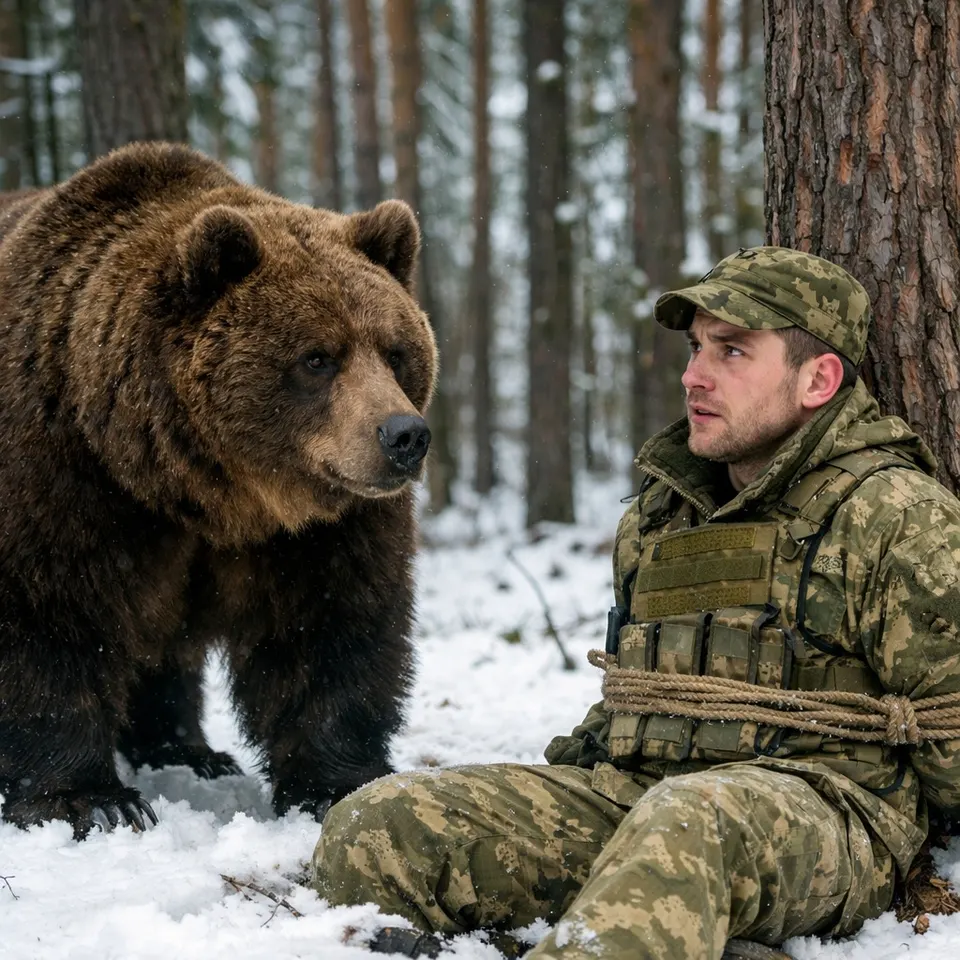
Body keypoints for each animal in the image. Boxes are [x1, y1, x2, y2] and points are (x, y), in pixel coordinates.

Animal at [0, 141, 436, 837]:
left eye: (395, 351)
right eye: (318, 357)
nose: (403, 436)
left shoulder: (317, 529)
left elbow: (331, 626)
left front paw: (334, 783)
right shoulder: (60, 474)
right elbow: (48, 616)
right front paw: (89, 799)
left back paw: (191, 752)